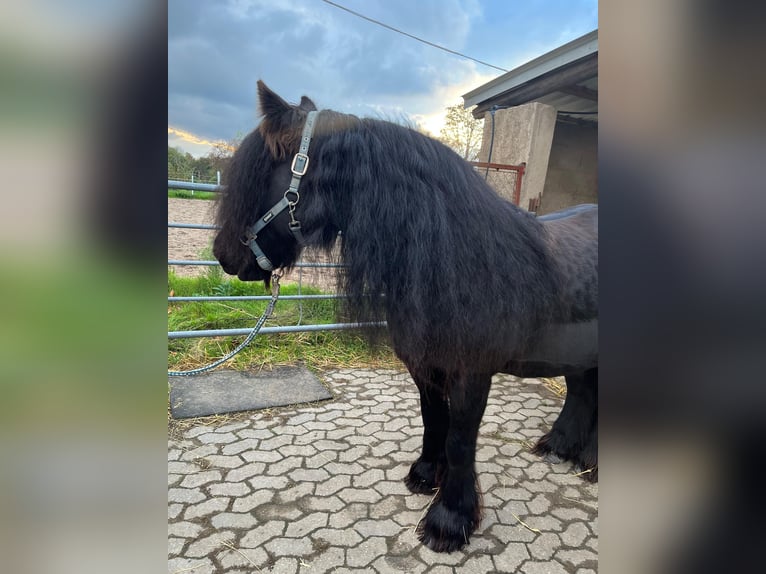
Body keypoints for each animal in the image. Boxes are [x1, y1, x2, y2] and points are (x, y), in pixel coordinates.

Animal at [213, 81, 596, 552]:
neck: (454, 256)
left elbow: (460, 438)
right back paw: (563, 448)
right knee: (583, 390)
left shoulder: (471, 372)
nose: (223, 256)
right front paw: (426, 476)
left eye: (259, 178)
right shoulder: (423, 364)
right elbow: (434, 419)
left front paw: (449, 522)